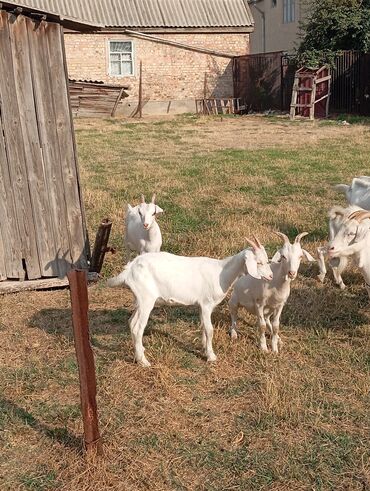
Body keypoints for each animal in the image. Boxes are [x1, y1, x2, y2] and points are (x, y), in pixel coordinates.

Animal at [108, 236, 274, 368]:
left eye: (267, 260)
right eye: (259, 263)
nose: (271, 276)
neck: (221, 272)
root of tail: (129, 270)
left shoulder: (200, 305)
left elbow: (203, 327)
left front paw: (204, 348)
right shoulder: (207, 304)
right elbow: (210, 329)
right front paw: (211, 356)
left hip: (139, 300)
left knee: (131, 322)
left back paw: (139, 352)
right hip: (146, 299)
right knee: (137, 327)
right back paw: (143, 361)